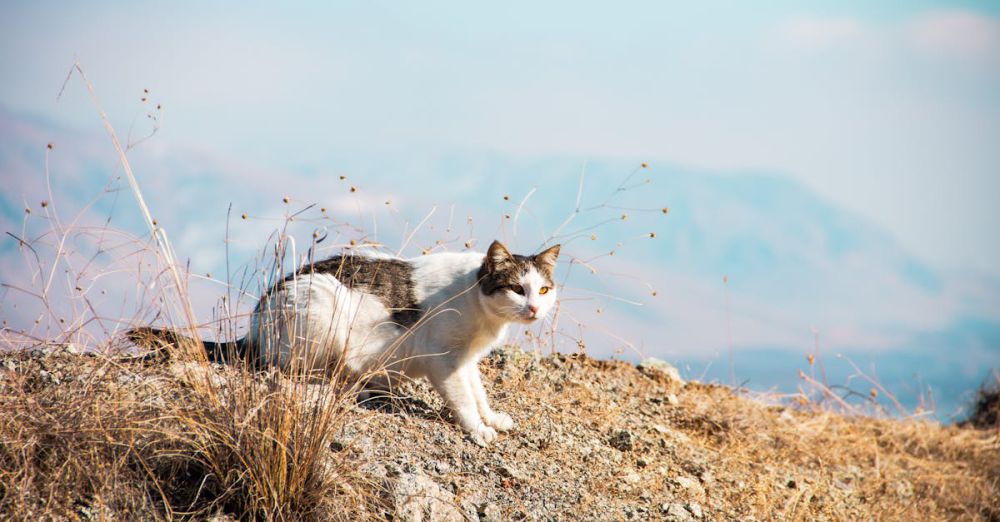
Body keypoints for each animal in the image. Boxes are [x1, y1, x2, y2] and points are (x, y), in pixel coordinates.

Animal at [129, 239, 560, 442]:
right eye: (516, 288)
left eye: (543, 289)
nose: (534, 309)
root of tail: (254, 326)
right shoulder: (444, 359)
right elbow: (463, 400)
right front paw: (476, 429)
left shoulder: (465, 360)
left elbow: (479, 393)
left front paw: (491, 418)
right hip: (321, 310)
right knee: (284, 369)